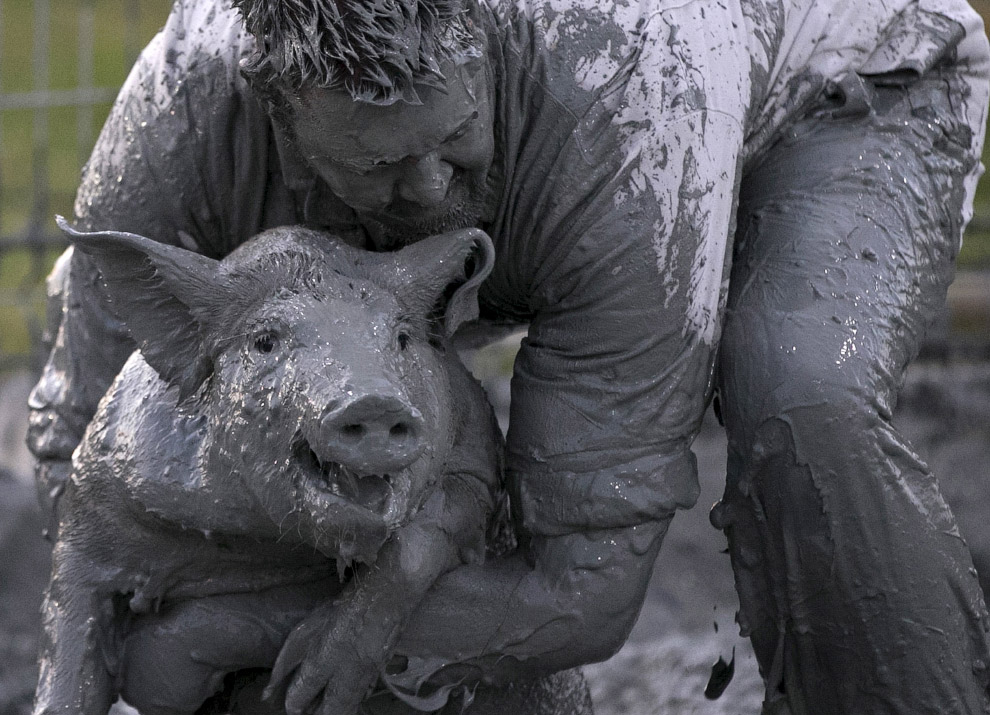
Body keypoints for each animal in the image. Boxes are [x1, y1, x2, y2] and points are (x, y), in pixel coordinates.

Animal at [35, 221, 596, 715]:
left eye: (401, 338)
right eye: (265, 340)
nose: (372, 402)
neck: (268, 544)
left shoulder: (478, 452)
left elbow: (426, 533)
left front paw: (308, 692)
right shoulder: (94, 500)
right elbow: (71, 635)